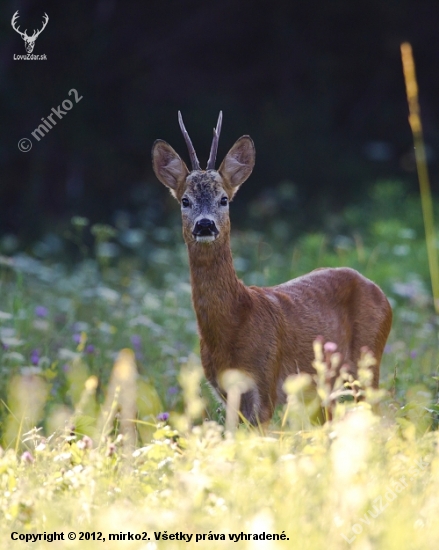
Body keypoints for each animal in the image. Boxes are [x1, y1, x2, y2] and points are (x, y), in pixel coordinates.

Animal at [153, 112, 394, 426]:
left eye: (223, 199)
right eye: (185, 200)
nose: (205, 225)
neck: (235, 320)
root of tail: (381, 293)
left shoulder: (265, 382)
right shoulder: (225, 392)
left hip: (368, 360)